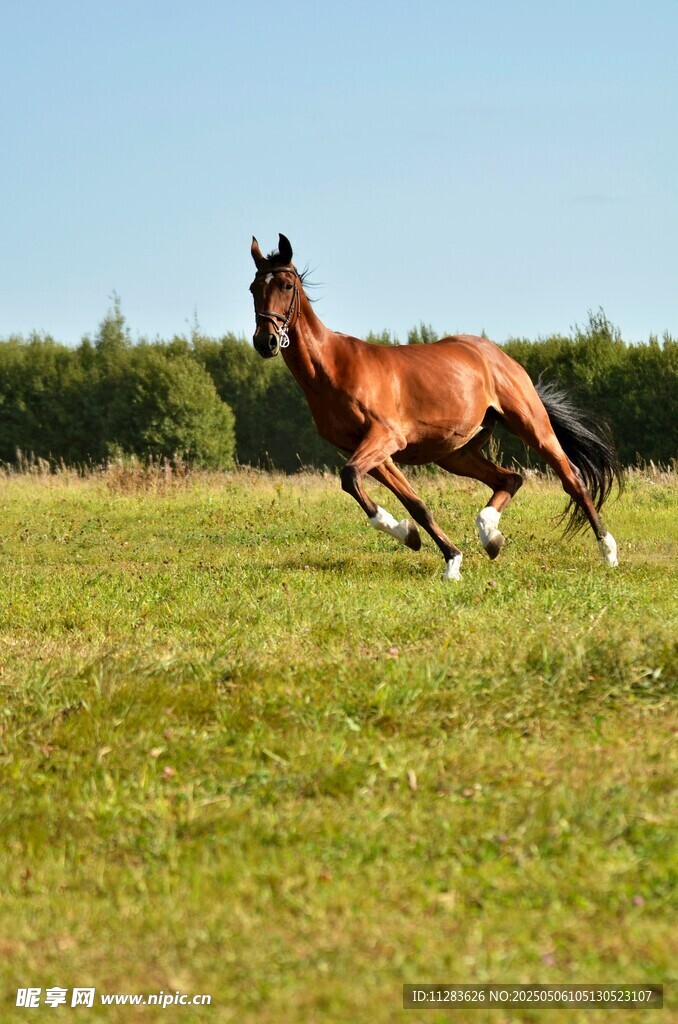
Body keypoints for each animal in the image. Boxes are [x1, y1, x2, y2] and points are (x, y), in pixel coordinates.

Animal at [249, 233, 623, 580]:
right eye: (254, 288)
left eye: (286, 285)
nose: (266, 341)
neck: (334, 368)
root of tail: (495, 354)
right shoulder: (369, 449)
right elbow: (414, 503)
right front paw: (441, 554)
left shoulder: (385, 438)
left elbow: (351, 477)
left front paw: (418, 541)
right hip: (455, 453)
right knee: (510, 478)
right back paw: (490, 534)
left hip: (530, 425)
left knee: (571, 478)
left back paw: (608, 553)